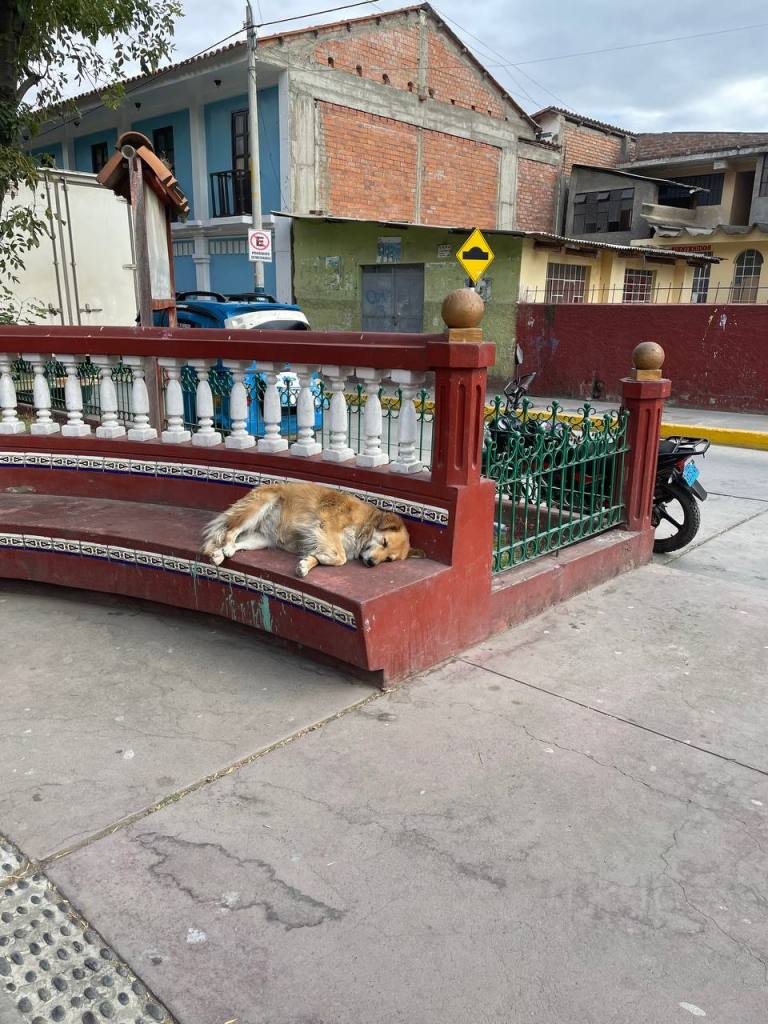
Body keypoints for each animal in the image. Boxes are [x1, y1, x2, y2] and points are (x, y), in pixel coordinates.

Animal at [202, 482, 424, 578]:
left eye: (389, 560)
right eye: (384, 542)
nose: (371, 564)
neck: (365, 524)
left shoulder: (318, 539)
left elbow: (321, 556)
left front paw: (307, 563)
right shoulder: (326, 528)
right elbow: (341, 558)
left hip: (260, 540)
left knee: (235, 542)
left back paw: (220, 554)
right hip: (259, 507)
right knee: (230, 532)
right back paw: (225, 548)